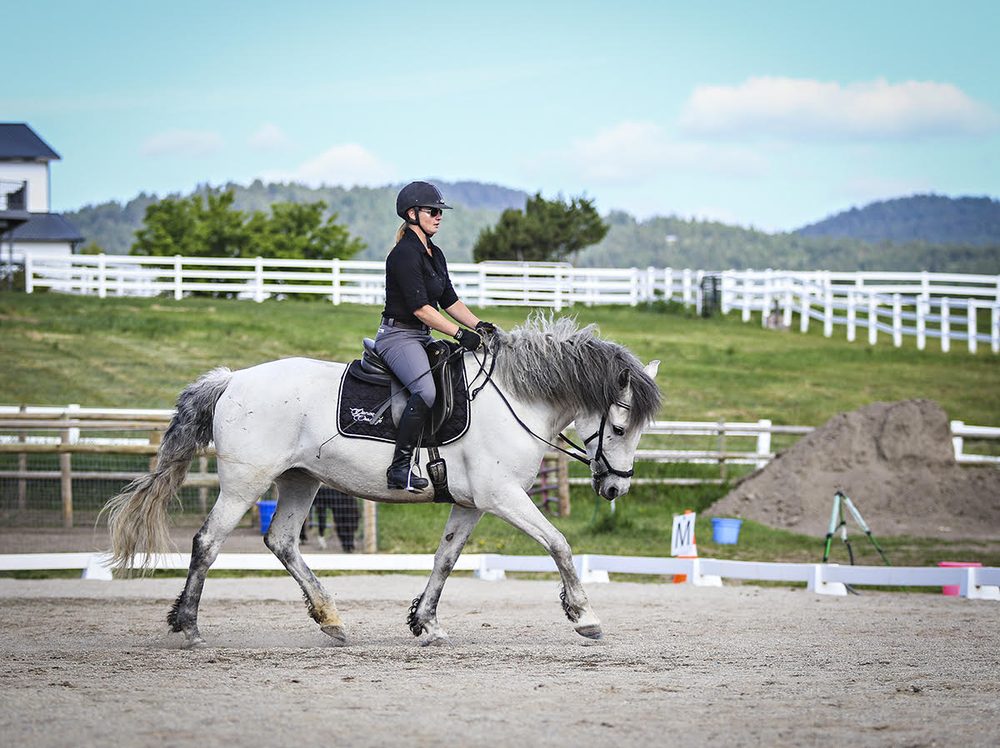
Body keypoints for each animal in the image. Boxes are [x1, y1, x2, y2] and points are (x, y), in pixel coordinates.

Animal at [104, 314, 661, 647]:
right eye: (617, 428)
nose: (616, 489)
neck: (516, 398)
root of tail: (233, 379)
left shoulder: (472, 503)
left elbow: (446, 558)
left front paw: (426, 623)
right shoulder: (502, 497)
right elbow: (559, 544)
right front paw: (585, 617)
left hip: (301, 480)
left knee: (281, 541)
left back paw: (330, 618)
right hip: (247, 483)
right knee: (207, 542)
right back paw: (189, 626)